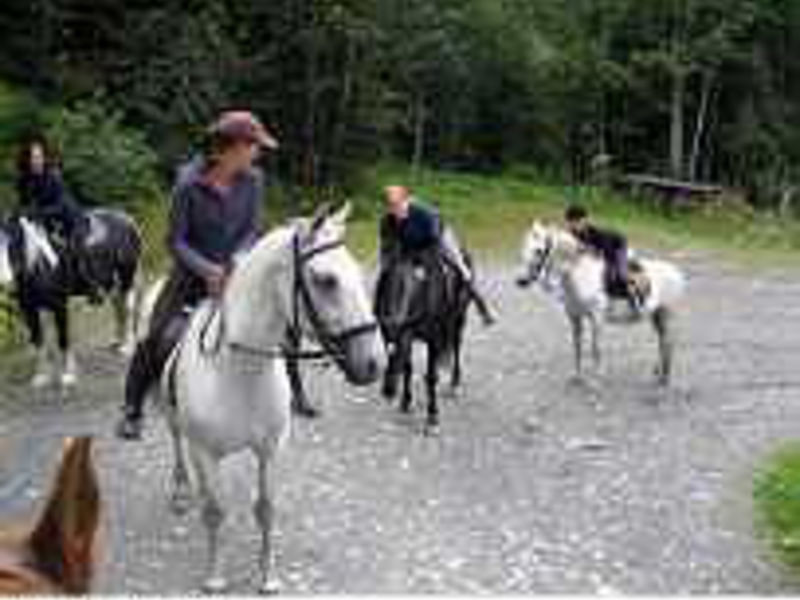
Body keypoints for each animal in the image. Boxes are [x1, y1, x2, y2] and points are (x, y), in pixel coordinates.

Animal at [0, 209, 142, 392]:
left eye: (13, 244)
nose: (5, 282)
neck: (42, 264)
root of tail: (128, 220)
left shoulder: (60, 307)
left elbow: (63, 339)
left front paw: (68, 376)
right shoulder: (29, 310)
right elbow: (38, 341)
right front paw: (41, 377)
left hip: (126, 277)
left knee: (128, 309)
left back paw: (127, 347)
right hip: (112, 283)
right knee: (119, 309)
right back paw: (117, 342)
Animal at [161, 203, 386, 596]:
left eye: (357, 271)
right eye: (326, 280)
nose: (375, 362)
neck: (239, 371)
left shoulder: (270, 449)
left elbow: (265, 510)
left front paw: (267, 578)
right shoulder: (206, 451)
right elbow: (216, 512)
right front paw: (214, 577)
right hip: (177, 425)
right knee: (178, 445)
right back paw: (182, 491)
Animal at [520, 220, 688, 384]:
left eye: (538, 250)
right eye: (525, 247)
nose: (521, 281)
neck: (580, 276)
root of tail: (676, 272)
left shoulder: (597, 317)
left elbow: (596, 348)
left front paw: (597, 378)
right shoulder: (574, 317)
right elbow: (577, 345)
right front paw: (576, 376)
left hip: (666, 314)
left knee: (668, 341)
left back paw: (665, 378)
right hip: (656, 315)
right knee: (662, 341)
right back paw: (659, 373)